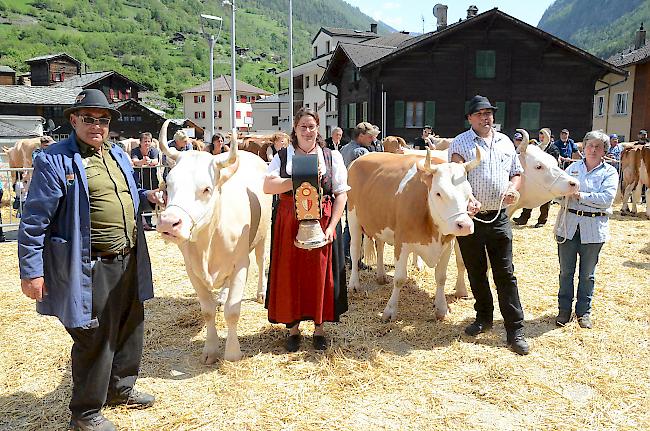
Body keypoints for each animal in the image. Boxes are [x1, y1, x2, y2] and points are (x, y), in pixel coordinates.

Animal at [155, 120, 270, 362]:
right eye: (168, 185)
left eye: (206, 188)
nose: (168, 222)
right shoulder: (192, 269)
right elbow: (207, 310)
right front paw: (210, 349)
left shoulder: (240, 264)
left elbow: (233, 311)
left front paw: (233, 352)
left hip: (263, 234)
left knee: (261, 260)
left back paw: (260, 292)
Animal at [346, 148, 478, 320]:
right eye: (438, 193)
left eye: (468, 193)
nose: (464, 225)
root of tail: (364, 156)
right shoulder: (401, 242)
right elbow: (399, 278)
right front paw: (390, 310)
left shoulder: (447, 244)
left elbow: (441, 277)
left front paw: (441, 308)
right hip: (353, 217)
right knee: (355, 250)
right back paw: (354, 284)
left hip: (380, 221)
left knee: (380, 245)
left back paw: (381, 276)